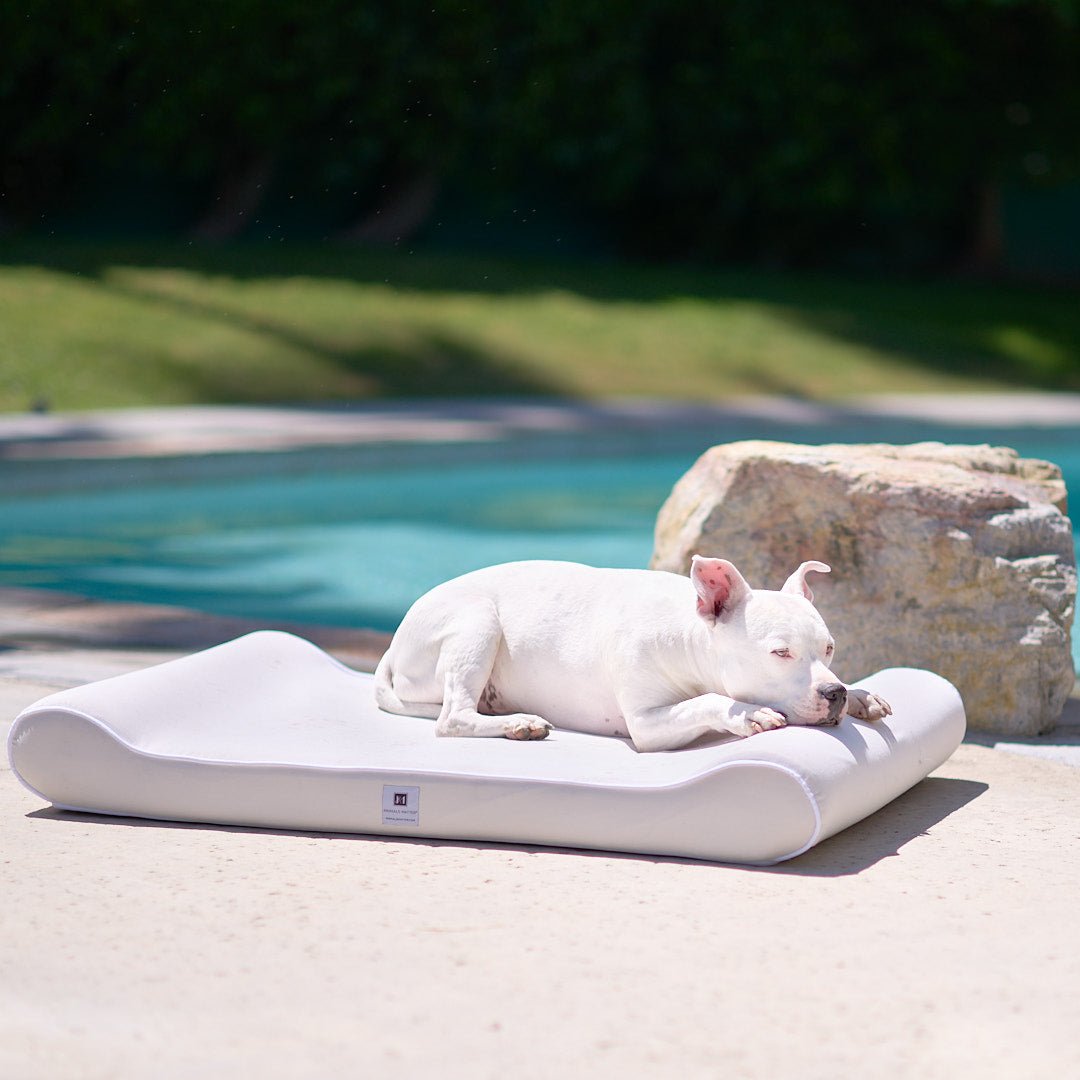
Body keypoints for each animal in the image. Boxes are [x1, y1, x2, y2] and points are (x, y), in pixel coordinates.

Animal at [375, 557, 889, 751]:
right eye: (780, 653)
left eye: (829, 648)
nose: (834, 693)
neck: (686, 636)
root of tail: (393, 647)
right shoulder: (647, 724)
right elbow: (707, 701)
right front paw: (748, 712)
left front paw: (861, 694)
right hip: (477, 622)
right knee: (452, 718)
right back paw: (518, 723)